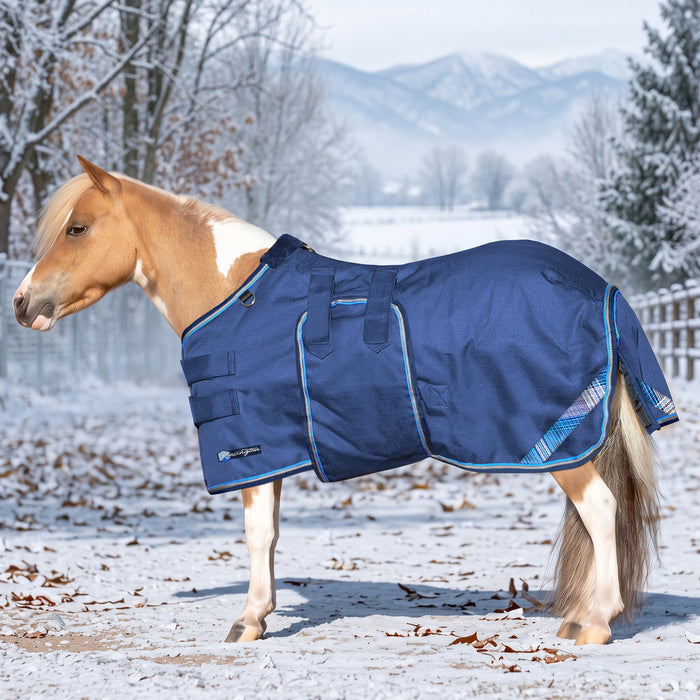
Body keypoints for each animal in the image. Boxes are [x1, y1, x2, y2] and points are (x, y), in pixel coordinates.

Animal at [13, 155, 677, 646]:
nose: (22, 303)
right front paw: (261, 614)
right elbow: (271, 535)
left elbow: (255, 534)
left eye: (77, 228)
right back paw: (581, 615)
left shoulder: (253, 448)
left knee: (601, 510)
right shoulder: (275, 451)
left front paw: (248, 621)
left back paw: (595, 625)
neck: (237, 294)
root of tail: (599, 286)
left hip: (557, 444)